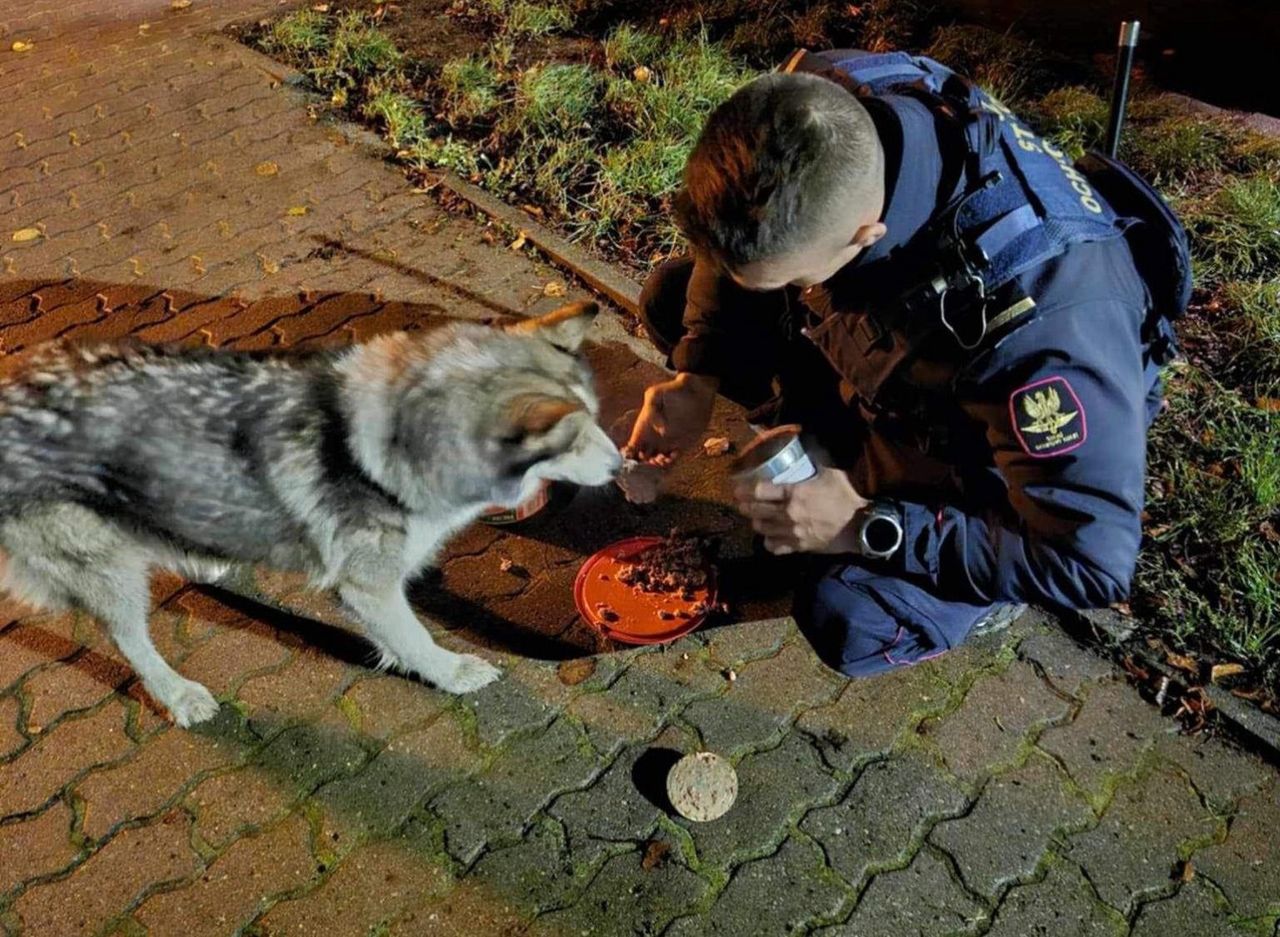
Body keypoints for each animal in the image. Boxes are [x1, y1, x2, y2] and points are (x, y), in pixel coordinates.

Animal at [0, 299, 619, 727]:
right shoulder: (368, 585)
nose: (621, 465)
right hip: (111, 576)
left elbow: (399, 636)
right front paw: (450, 673)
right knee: (131, 641)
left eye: (596, 418)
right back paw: (178, 694)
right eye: (573, 440)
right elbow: (418, 639)